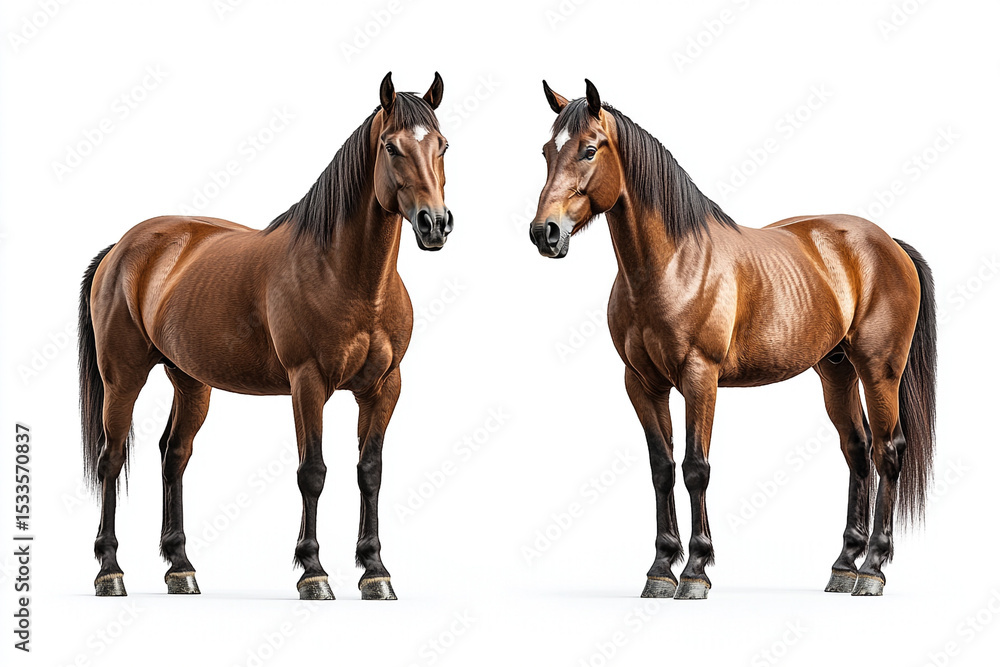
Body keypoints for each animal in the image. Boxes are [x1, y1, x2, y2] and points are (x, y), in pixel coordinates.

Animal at [78, 72, 452, 600]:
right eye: (391, 146)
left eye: (442, 145)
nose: (434, 223)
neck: (346, 274)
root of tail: (122, 248)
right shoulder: (307, 383)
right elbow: (312, 472)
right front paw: (313, 572)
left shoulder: (384, 387)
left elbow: (370, 472)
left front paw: (375, 571)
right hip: (122, 378)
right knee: (111, 460)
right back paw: (109, 571)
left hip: (190, 382)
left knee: (174, 455)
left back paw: (181, 568)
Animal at [528, 80, 936, 599]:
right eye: (546, 151)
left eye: (588, 149)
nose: (545, 233)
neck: (671, 263)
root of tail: (888, 244)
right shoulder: (641, 382)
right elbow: (662, 468)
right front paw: (660, 568)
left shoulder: (699, 378)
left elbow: (695, 468)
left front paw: (695, 571)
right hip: (836, 371)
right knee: (858, 450)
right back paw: (845, 565)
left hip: (879, 369)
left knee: (888, 450)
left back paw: (873, 569)